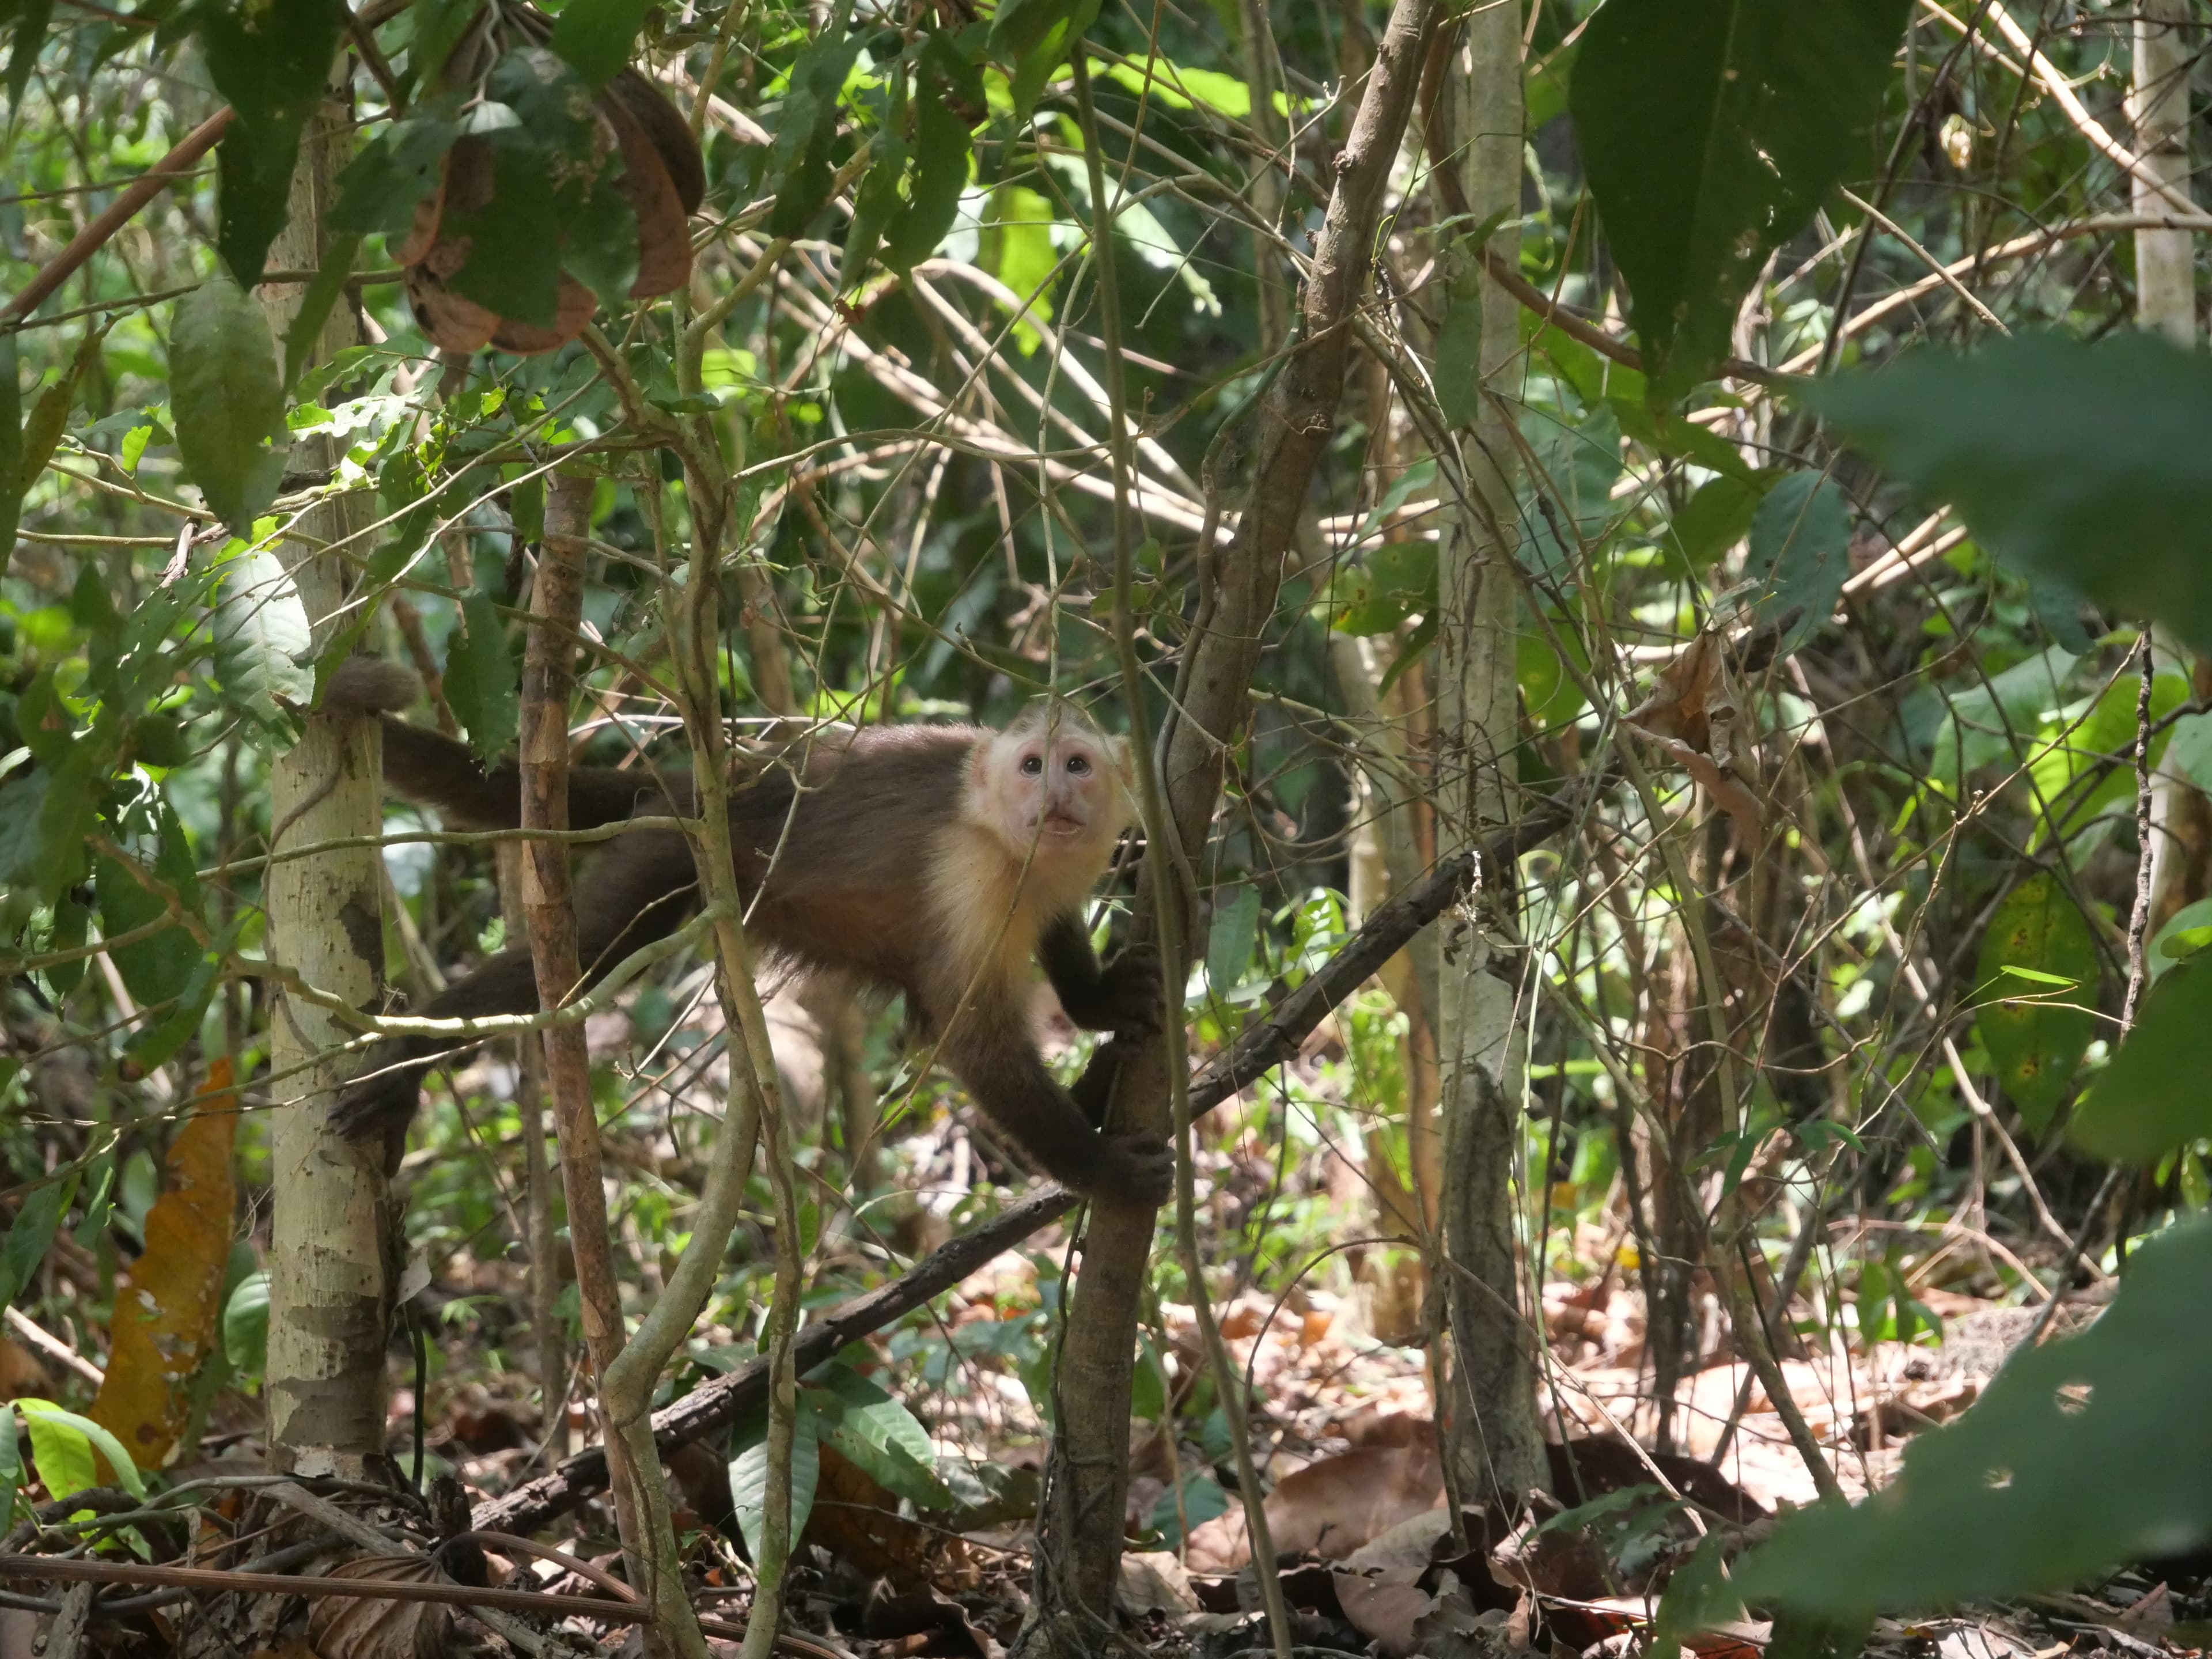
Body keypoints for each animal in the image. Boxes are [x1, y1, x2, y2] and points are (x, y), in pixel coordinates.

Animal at [321, 660, 1174, 1207]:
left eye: (1077, 764)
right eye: (1031, 766)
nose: (1057, 793)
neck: (1013, 844)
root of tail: (711, 782)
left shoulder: (1068, 864)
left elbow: (1056, 928)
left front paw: (1099, 1003)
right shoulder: (971, 873)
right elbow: (973, 1039)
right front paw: (1105, 1171)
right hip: (669, 851)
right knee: (582, 956)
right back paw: (403, 1063)